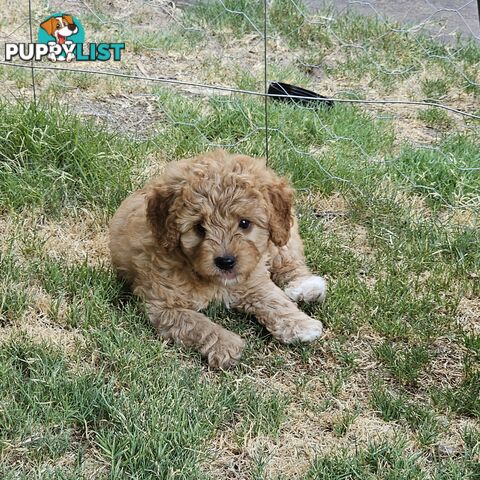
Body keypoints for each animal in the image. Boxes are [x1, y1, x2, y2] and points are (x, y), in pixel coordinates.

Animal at [109, 150, 326, 368]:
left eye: (245, 223)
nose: (225, 262)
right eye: (199, 227)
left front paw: (301, 324)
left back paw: (307, 288)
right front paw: (226, 344)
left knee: (289, 261)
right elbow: (196, 323)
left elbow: (274, 299)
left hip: (281, 238)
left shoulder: (254, 279)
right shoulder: (163, 305)